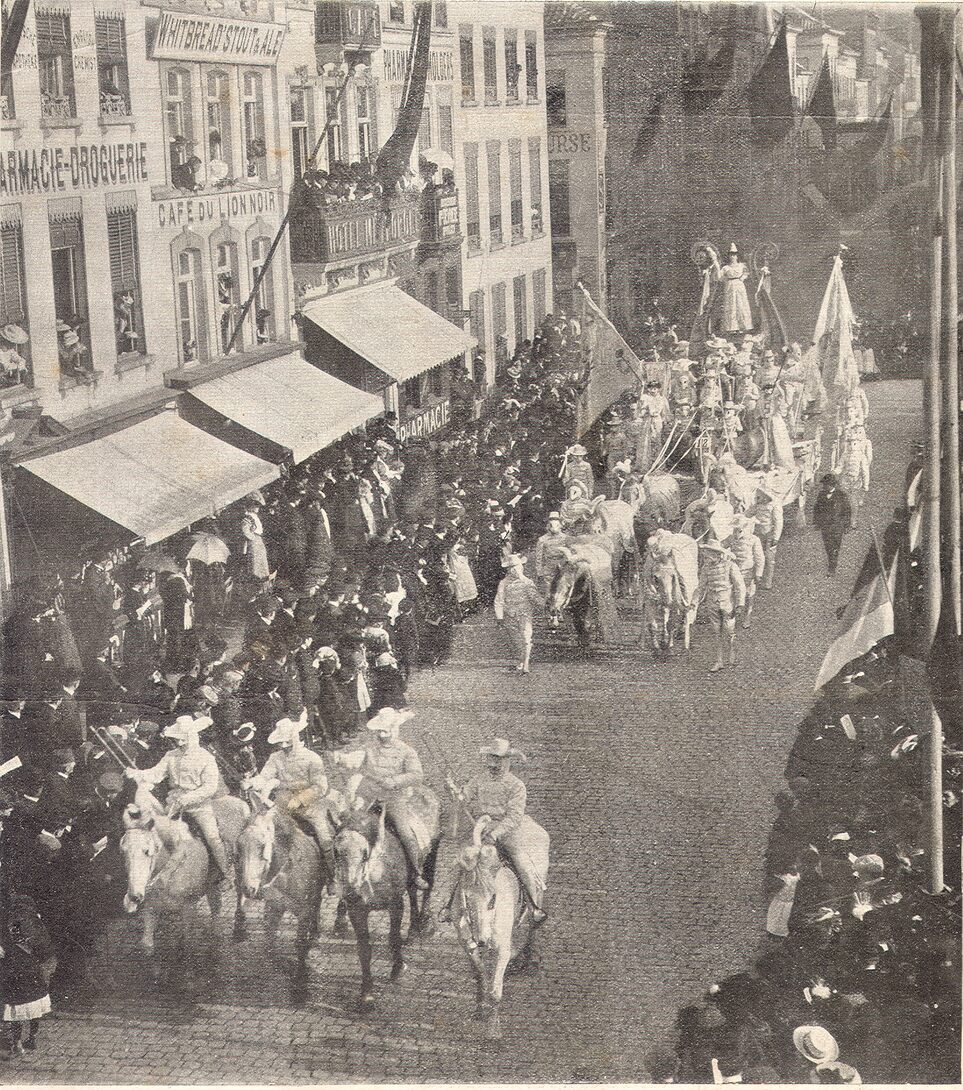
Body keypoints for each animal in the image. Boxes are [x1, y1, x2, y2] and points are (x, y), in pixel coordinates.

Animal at [119, 789, 249, 981]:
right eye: (123, 851)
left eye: (147, 851)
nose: (134, 897)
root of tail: (238, 801)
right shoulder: (151, 908)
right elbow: (147, 945)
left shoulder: (188, 907)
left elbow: (187, 942)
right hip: (211, 883)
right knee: (215, 905)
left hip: (240, 868)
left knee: (239, 892)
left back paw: (239, 926)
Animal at [235, 808, 328, 1002]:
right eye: (239, 845)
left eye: (262, 846)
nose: (248, 888)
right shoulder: (274, 907)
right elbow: (270, 945)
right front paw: (286, 968)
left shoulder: (304, 911)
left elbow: (300, 943)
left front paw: (300, 982)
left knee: (317, 903)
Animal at [329, 788, 441, 1007]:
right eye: (336, 852)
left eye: (365, 853)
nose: (351, 894)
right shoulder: (357, 910)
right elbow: (364, 949)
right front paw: (367, 994)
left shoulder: (395, 904)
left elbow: (393, 937)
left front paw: (398, 968)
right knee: (412, 890)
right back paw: (413, 929)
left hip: (433, 852)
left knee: (427, 885)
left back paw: (425, 923)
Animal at [450, 817, 550, 1042]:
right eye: (465, 896)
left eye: (493, 898)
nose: (481, 940)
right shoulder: (468, 947)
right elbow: (481, 977)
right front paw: (479, 1012)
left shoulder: (501, 949)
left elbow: (496, 992)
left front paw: (493, 1030)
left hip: (538, 890)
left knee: (533, 927)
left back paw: (529, 959)